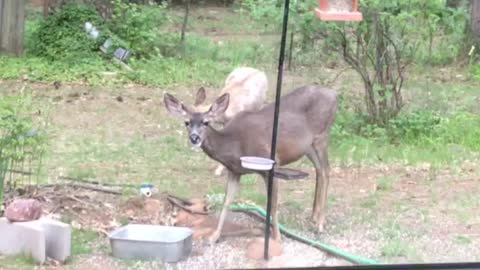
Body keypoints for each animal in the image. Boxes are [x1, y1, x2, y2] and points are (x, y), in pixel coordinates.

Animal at [165, 84, 338, 245]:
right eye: (187, 122)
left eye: (206, 122)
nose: (194, 138)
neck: (234, 144)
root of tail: (334, 94)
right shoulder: (235, 171)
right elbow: (226, 202)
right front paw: (214, 236)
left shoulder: (270, 166)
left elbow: (272, 206)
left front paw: (277, 237)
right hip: (308, 146)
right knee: (319, 170)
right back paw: (313, 217)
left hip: (321, 136)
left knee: (326, 170)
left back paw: (320, 224)